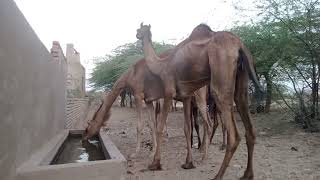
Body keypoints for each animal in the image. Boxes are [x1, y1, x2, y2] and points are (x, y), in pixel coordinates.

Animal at [136, 23, 264, 179]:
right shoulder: (185, 97)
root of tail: (240, 44)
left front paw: (155, 163)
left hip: (220, 71)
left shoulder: (168, 92)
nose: (136, 34)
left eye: (139, 30)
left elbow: (160, 127)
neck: (161, 65)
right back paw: (247, 174)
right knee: (247, 122)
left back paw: (217, 174)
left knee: (231, 133)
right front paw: (188, 163)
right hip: (242, 76)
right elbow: (187, 128)